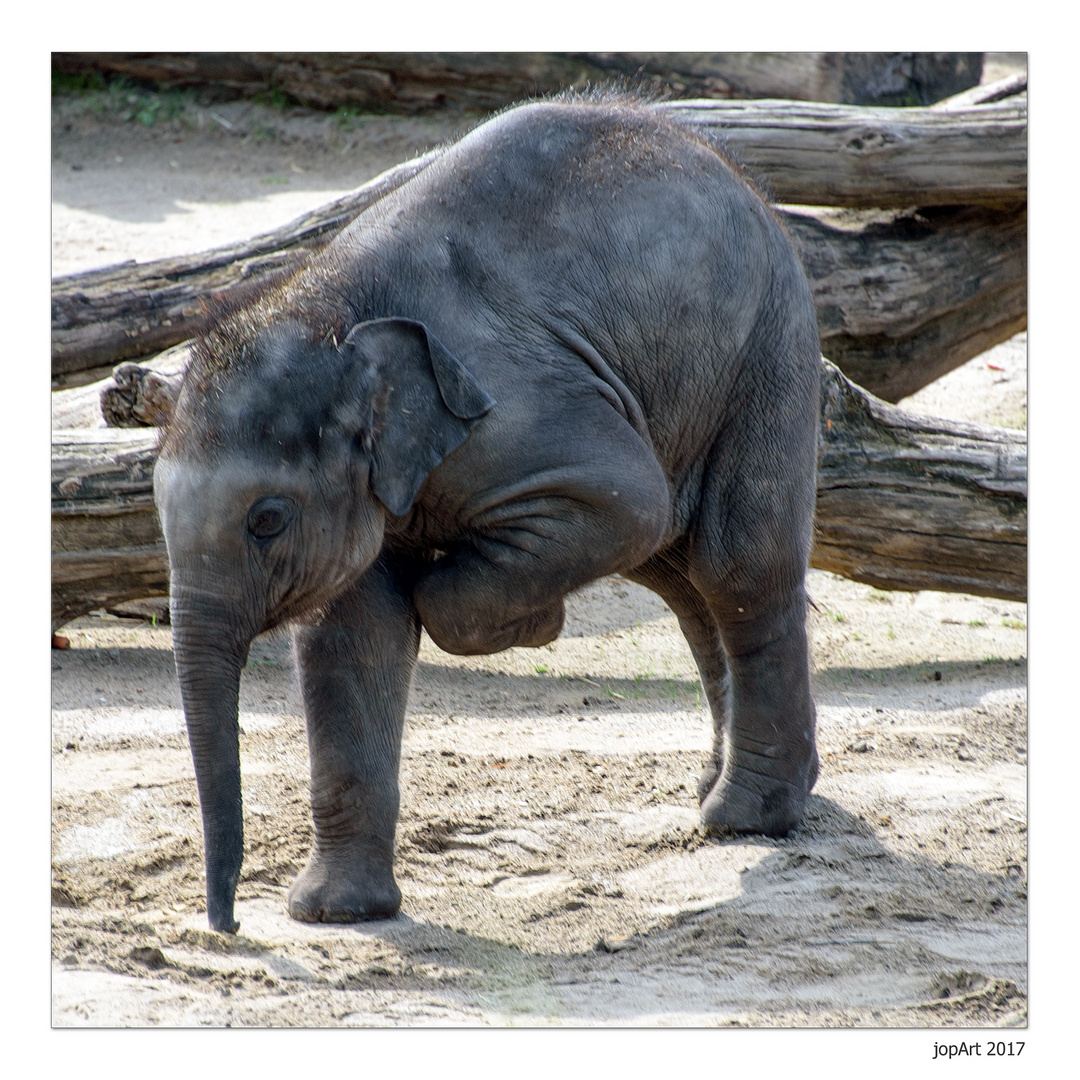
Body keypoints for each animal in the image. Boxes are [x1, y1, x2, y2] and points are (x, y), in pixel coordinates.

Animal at [156, 95, 816, 937]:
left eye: (266, 519)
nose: (229, 924)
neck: (326, 308)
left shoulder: (518, 410)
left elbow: (624, 495)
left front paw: (530, 622)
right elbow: (349, 636)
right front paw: (336, 914)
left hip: (770, 341)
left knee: (735, 561)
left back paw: (745, 819)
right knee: (682, 579)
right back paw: (722, 788)